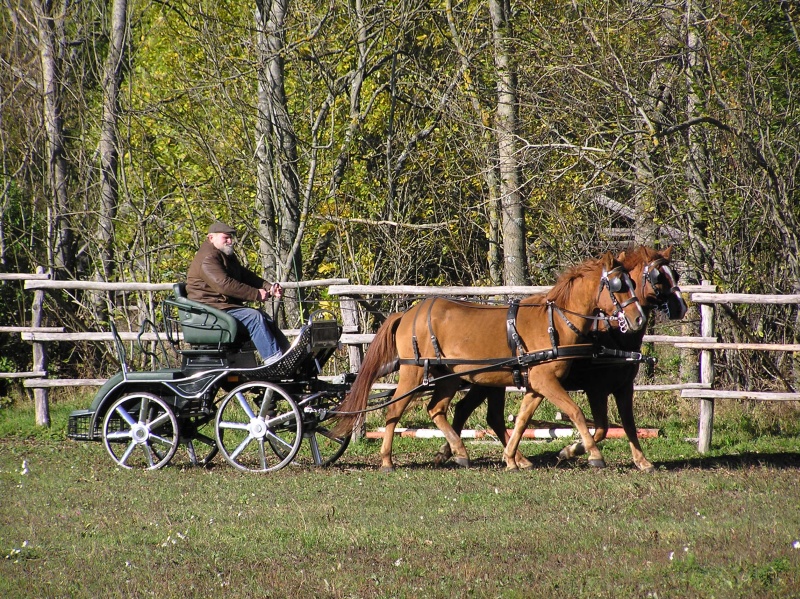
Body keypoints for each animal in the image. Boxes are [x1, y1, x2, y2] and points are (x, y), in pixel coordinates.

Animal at [334, 251, 648, 472]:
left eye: (633, 282)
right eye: (618, 286)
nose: (638, 319)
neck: (555, 321)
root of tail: (409, 313)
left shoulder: (537, 385)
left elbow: (521, 420)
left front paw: (511, 458)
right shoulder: (550, 382)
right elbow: (576, 413)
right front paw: (594, 455)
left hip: (449, 377)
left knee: (437, 409)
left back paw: (460, 452)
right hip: (413, 373)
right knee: (395, 410)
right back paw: (387, 460)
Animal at [434, 246, 692, 476]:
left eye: (675, 274)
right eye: (659, 277)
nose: (681, 307)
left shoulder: (623, 387)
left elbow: (628, 424)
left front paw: (642, 461)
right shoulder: (595, 389)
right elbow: (597, 425)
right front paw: (577, 452)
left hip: (488, 382)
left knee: (474, 412)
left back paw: (460, 452)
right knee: (481, 414)